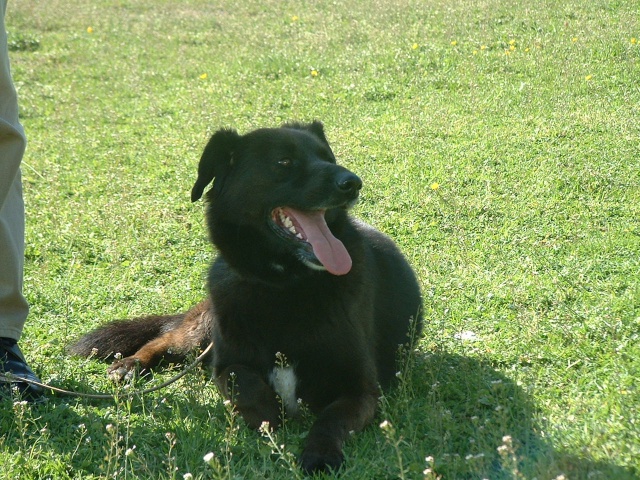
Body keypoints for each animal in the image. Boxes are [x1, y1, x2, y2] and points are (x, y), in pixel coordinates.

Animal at [70, 122, 422, 474]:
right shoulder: (226, 362)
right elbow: (243, 382)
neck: (284, 286)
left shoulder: (360, 389)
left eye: (327, 157)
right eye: (284, 162)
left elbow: (330, 419)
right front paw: (271, 416)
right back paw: (130, 365)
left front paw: (319, 452)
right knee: (165, 341)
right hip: (203, 332)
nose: (352, 183)